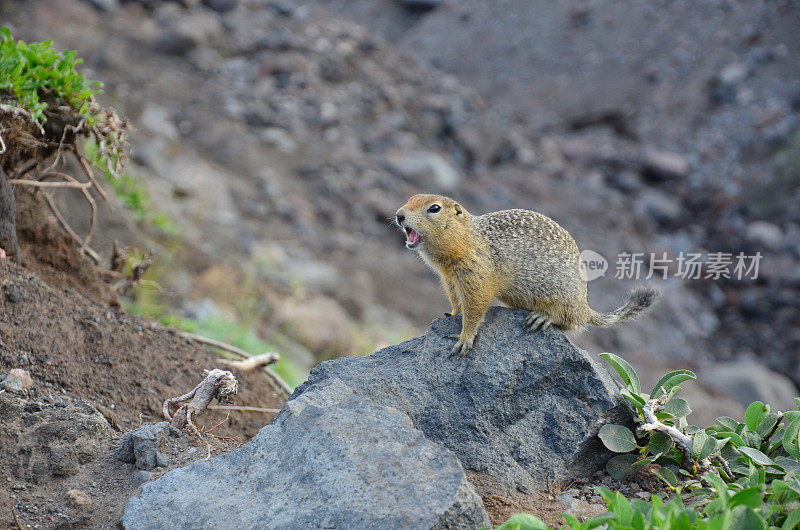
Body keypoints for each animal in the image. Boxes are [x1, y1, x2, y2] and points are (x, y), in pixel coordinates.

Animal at [396, 194, 660, 354]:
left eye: (434, 208)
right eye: (409, 199)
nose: (399, 215)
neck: (468, 239)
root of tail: (584, 306)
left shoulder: (477, 275)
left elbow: (475, 307)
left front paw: (464, 339)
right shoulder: (450, 279)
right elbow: (456, 300)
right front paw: (451, 314)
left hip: (562, 298)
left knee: (567, 321)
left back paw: (542, 317)